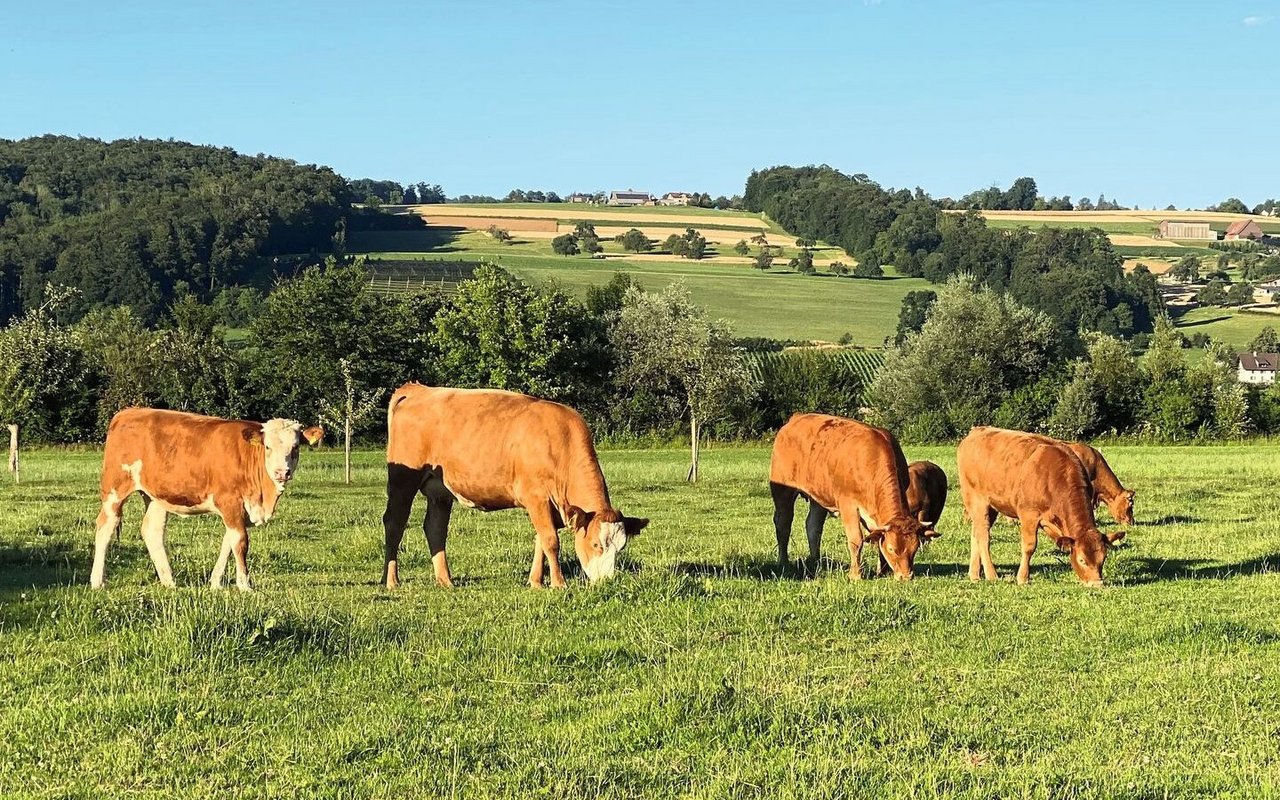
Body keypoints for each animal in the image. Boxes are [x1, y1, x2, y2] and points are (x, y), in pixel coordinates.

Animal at [88, 409, 322, 588]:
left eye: (295, 447)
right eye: (268, 447)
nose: (281, 472)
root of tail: (128, 412)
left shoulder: (239, 510)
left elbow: (228, 542)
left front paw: (216, 583)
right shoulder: (229, 502)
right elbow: (240, 542)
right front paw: (245, 585)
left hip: (156, 496)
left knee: (152, 531)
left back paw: (169, 582)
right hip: (115, 489)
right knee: (105, 527)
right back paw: (98, 581)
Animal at [373, 381, 645, 586]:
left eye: (621, 548)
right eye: (596, 544)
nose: (608, 581)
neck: (559, 442)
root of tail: (418, 389)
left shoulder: (550, 506)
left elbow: (540, 541)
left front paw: (536, 582)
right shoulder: (536, 497)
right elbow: (551, 541)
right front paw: (558, 583)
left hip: (440, 491)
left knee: (435, 528)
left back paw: (445, 580)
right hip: (403, 480)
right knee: (395, 523)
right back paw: (392, 581)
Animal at [768, 412, 942, 581]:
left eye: (915, 548)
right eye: (892, 548)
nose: (905, 576)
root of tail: (795, 418)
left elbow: (876, 536)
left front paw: (882, 571)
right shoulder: (848, 505)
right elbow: (856, 539)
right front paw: (855, 574)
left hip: (819, 497)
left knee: (813, 526)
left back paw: (815, 562)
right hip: (783, 491)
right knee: (783, 524)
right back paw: (784, 562)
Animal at [957, 424, 1126, 586]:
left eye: (1103, 558)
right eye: (1082, 560)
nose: (1097, 583)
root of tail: (976, 431)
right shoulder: (1028, 515)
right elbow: (1029, 546)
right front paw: (1023, 578)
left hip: (992, 506)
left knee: (976, 534)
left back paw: (974, 575)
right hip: (977, 501)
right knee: (983, 537)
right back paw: (991, 575)